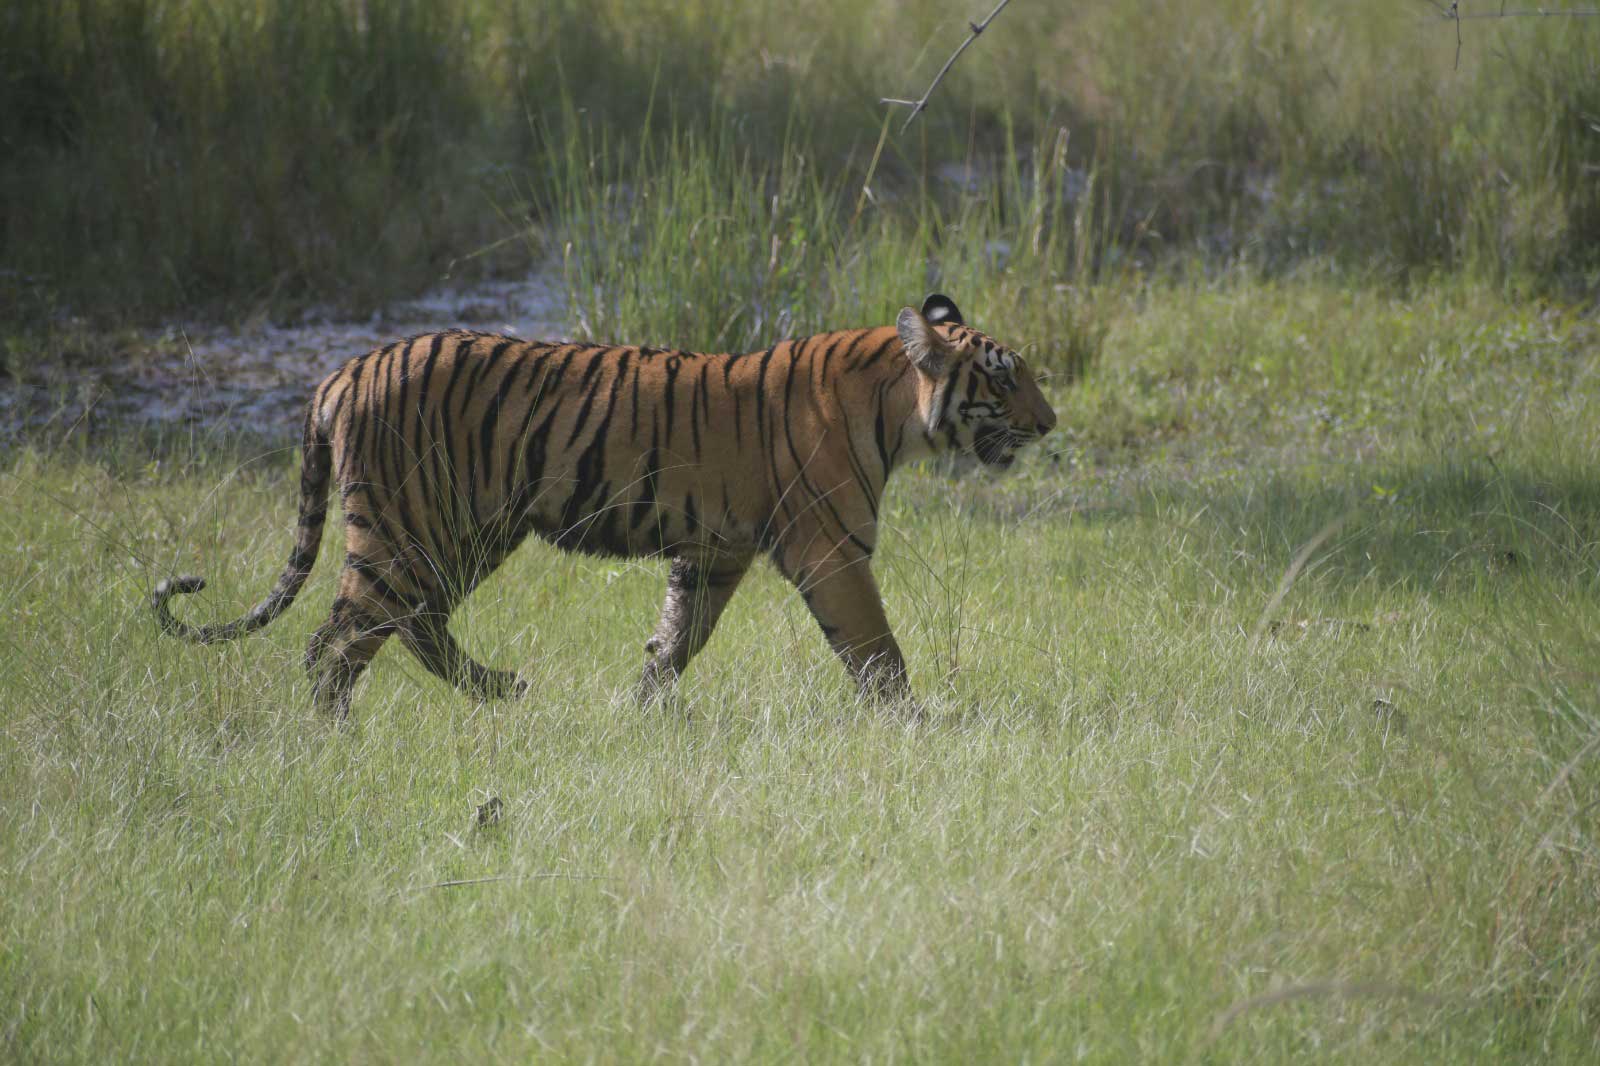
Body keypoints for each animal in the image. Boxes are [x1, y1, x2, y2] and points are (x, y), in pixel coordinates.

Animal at [152, 294, 1057, 717]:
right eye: (1005, 377)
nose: (1051, 423)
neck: (898, 411)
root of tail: (342, 370)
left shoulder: (713, 553)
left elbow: (676, 638)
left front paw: (643, 710)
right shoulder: (832, 549)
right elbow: (877, 651)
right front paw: (916, 724)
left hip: (464, 533)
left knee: (409, 624)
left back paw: (499, 690)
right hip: (408, 527)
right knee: (335, 641)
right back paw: (336, 734)